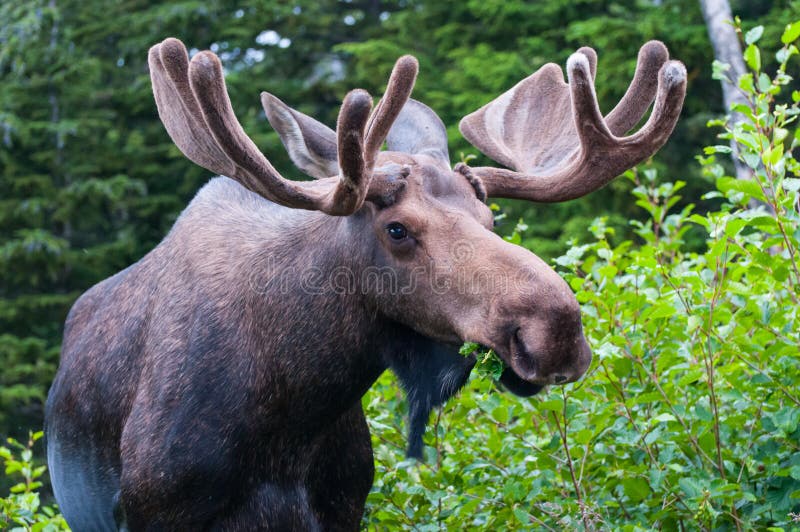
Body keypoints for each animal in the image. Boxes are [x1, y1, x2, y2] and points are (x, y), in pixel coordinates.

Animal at [44, 37, 685, 530]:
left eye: (490, 218)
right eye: (396, 229)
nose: (557, 331)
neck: (289, 418)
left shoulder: (344, 505)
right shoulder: (153, 511)